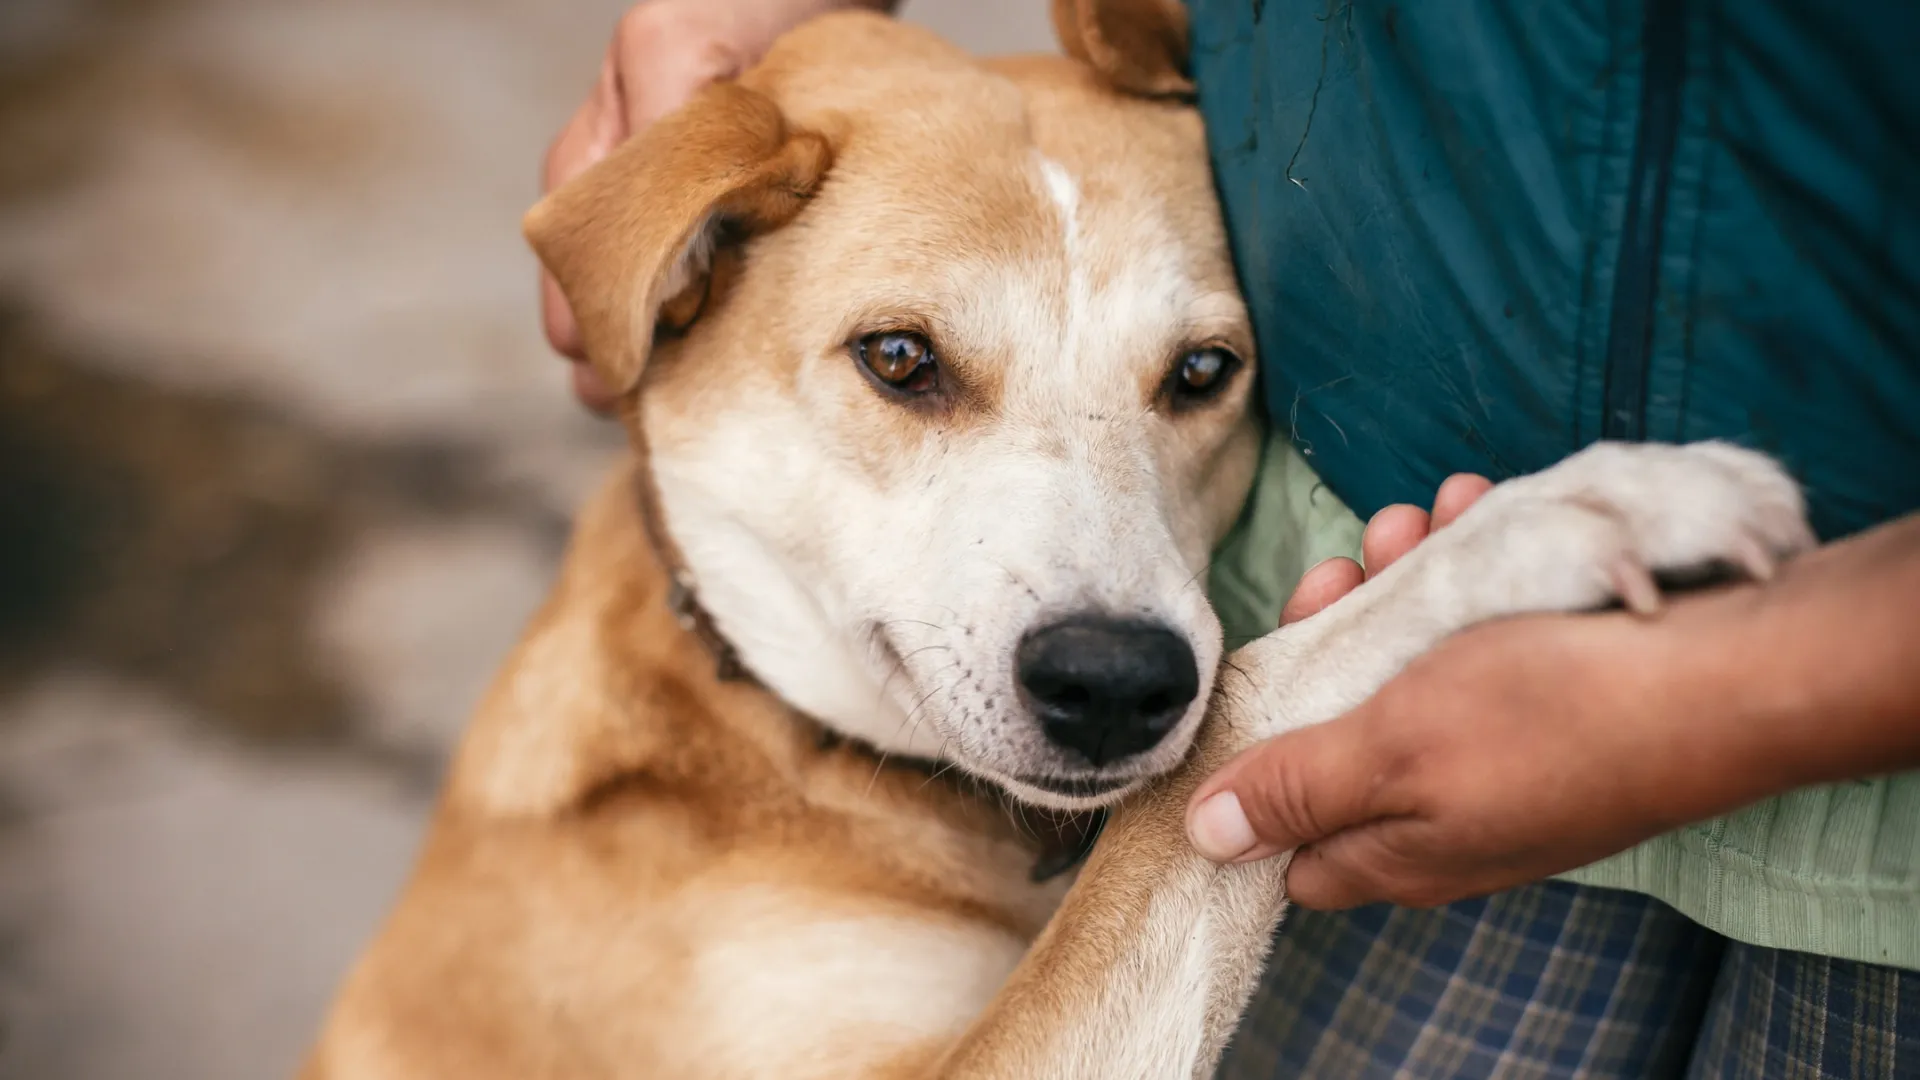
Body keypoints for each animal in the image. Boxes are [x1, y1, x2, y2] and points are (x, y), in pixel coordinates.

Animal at [303, 4, 1812, 1068]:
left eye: (1203, 373)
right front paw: (1580, 508)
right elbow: (1245, 698)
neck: (780, 748)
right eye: (899, 358)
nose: (1113, 684)